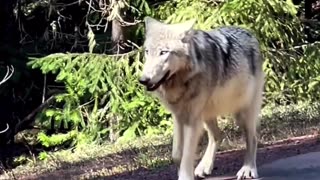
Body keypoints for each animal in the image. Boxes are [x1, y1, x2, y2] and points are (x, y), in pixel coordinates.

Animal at [139, 16, 264, 180]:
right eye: (147, 52)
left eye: (163, 52)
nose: (143, 80)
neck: (183, 80)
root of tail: (249, 33)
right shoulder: (179, 116)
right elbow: (177, 155)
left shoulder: (192, 119)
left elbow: (186, 155)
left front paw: (185, 176)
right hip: (207, 114)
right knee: (218, 135)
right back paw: (204, 167)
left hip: (241, 113)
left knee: (253, 138)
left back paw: (248, 169)